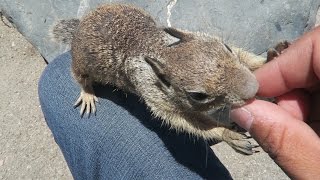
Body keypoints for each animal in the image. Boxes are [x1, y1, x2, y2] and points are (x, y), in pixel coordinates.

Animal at [50, 3, 280, 155]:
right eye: (198, 95)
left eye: (226, 47)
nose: (252, 88)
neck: (162, 49)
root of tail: (80, 26)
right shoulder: (157, 99)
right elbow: (189, 124)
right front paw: (227, 133)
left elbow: (244, 57)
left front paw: (270, 57)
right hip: (81, 64)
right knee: (81, 78)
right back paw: (87, 93)